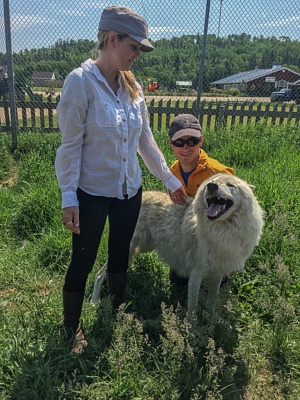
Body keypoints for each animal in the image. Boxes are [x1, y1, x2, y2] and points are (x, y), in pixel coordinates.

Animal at [90, 173, 264, 314]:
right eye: (212, 182)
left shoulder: (217, 273)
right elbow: (192, 308)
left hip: (143, 247)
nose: (211, 186)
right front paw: (192, 330)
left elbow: (211, 302)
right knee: (99, 273)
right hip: (127, 248)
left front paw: (211, 322)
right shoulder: (196, 273)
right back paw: (94, 301)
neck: (222, 230)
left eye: (231, 185)